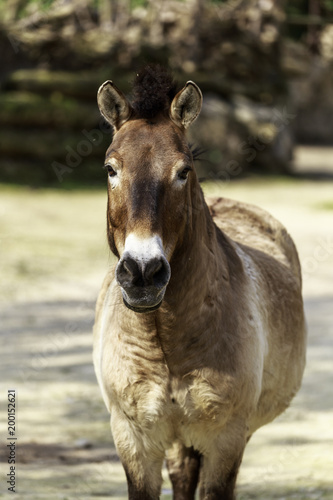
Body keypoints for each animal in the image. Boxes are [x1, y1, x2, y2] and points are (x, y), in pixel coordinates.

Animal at [92, 66, 304, 500]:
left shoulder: (225, 439)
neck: (166, 342)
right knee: (182, 472)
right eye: (111, 169)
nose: (142, 272)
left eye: (183, 171)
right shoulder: (134, 442)